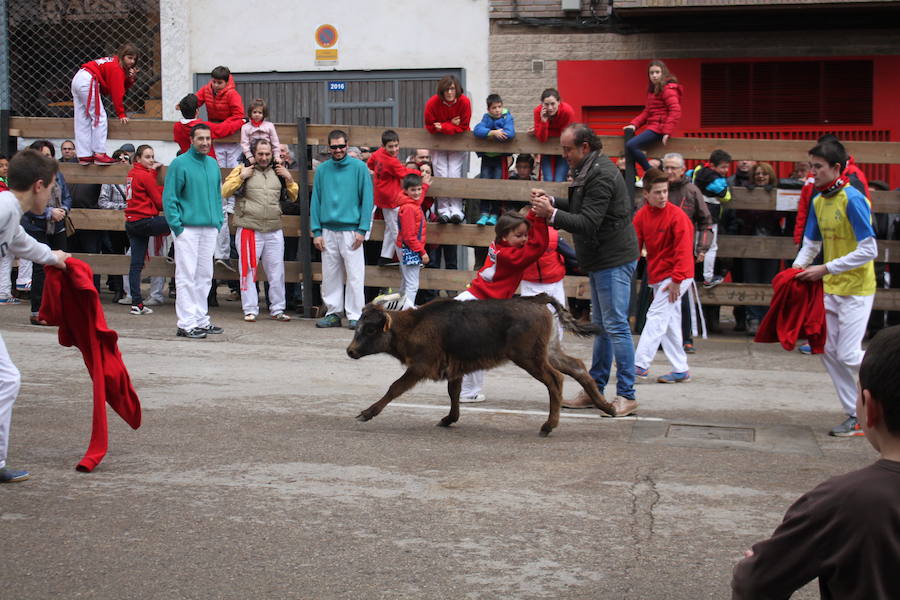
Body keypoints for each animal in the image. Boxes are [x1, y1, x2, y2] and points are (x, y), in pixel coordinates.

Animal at [346, 292, 620, 436]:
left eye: (370, 330)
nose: (350, 351)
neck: (413, 325)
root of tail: (537, 299)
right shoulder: (454, 369)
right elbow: (453, 392)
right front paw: (450, 418)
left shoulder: (420, 367)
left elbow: (395, 388)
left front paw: (366, 413)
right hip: (549, 352)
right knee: (577, 367)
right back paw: (608, 407)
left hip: (530, 358)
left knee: (556, 379)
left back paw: (548, 425)